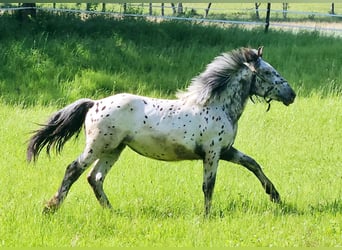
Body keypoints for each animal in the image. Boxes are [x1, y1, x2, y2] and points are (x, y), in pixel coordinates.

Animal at [26, 47, 296, 216]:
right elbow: (209, 185)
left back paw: (112, 212)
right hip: (98, 146)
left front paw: (275, 196)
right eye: (269, 72)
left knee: (95, 178)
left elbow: (252, 164)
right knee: (74, 169)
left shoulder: (226, 151)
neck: (216, 105)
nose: (291, 95)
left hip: (114, 149)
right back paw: (51, 207)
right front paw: (207, 216)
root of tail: (94, 104)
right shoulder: (212, 153)